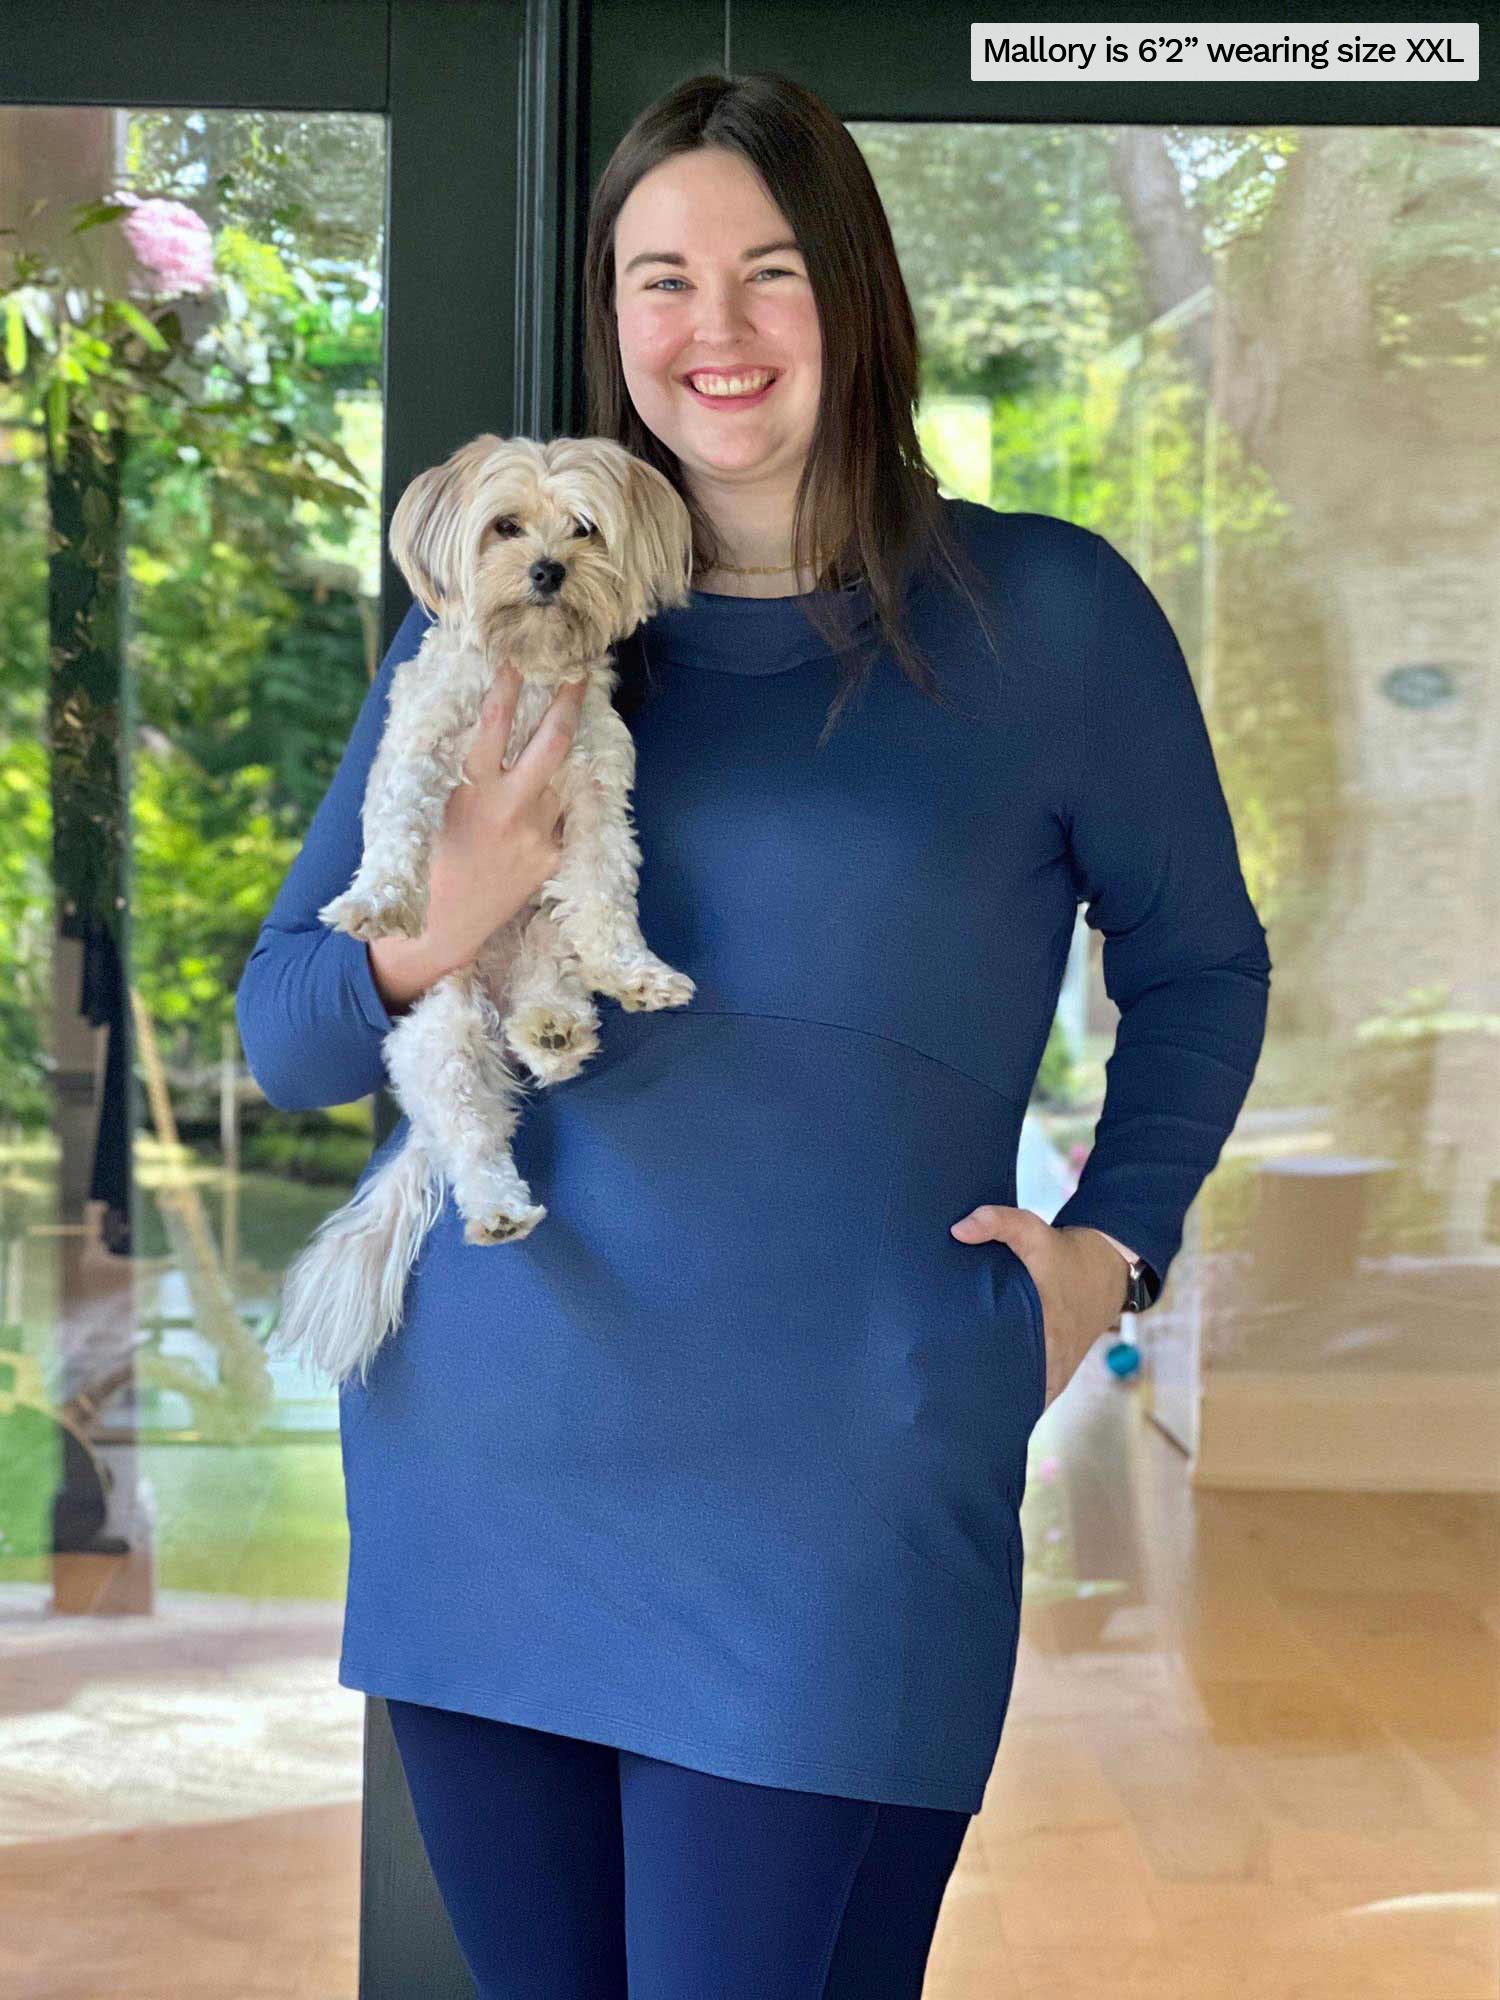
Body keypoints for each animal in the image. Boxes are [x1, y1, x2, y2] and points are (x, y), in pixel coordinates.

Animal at [268, 430, 700, 1384]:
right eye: (505, 525)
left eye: (584, 528)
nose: (546, 569)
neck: (529, 675)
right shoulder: (423, 747)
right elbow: (399, 825)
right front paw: (380, 898)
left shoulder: (595, 792)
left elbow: (607, 894)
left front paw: (638, 971)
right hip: (442, 1031)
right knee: (473, 1135)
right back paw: (498, 1202)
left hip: (536, 942)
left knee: (550, 998)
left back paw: (554, 1030)